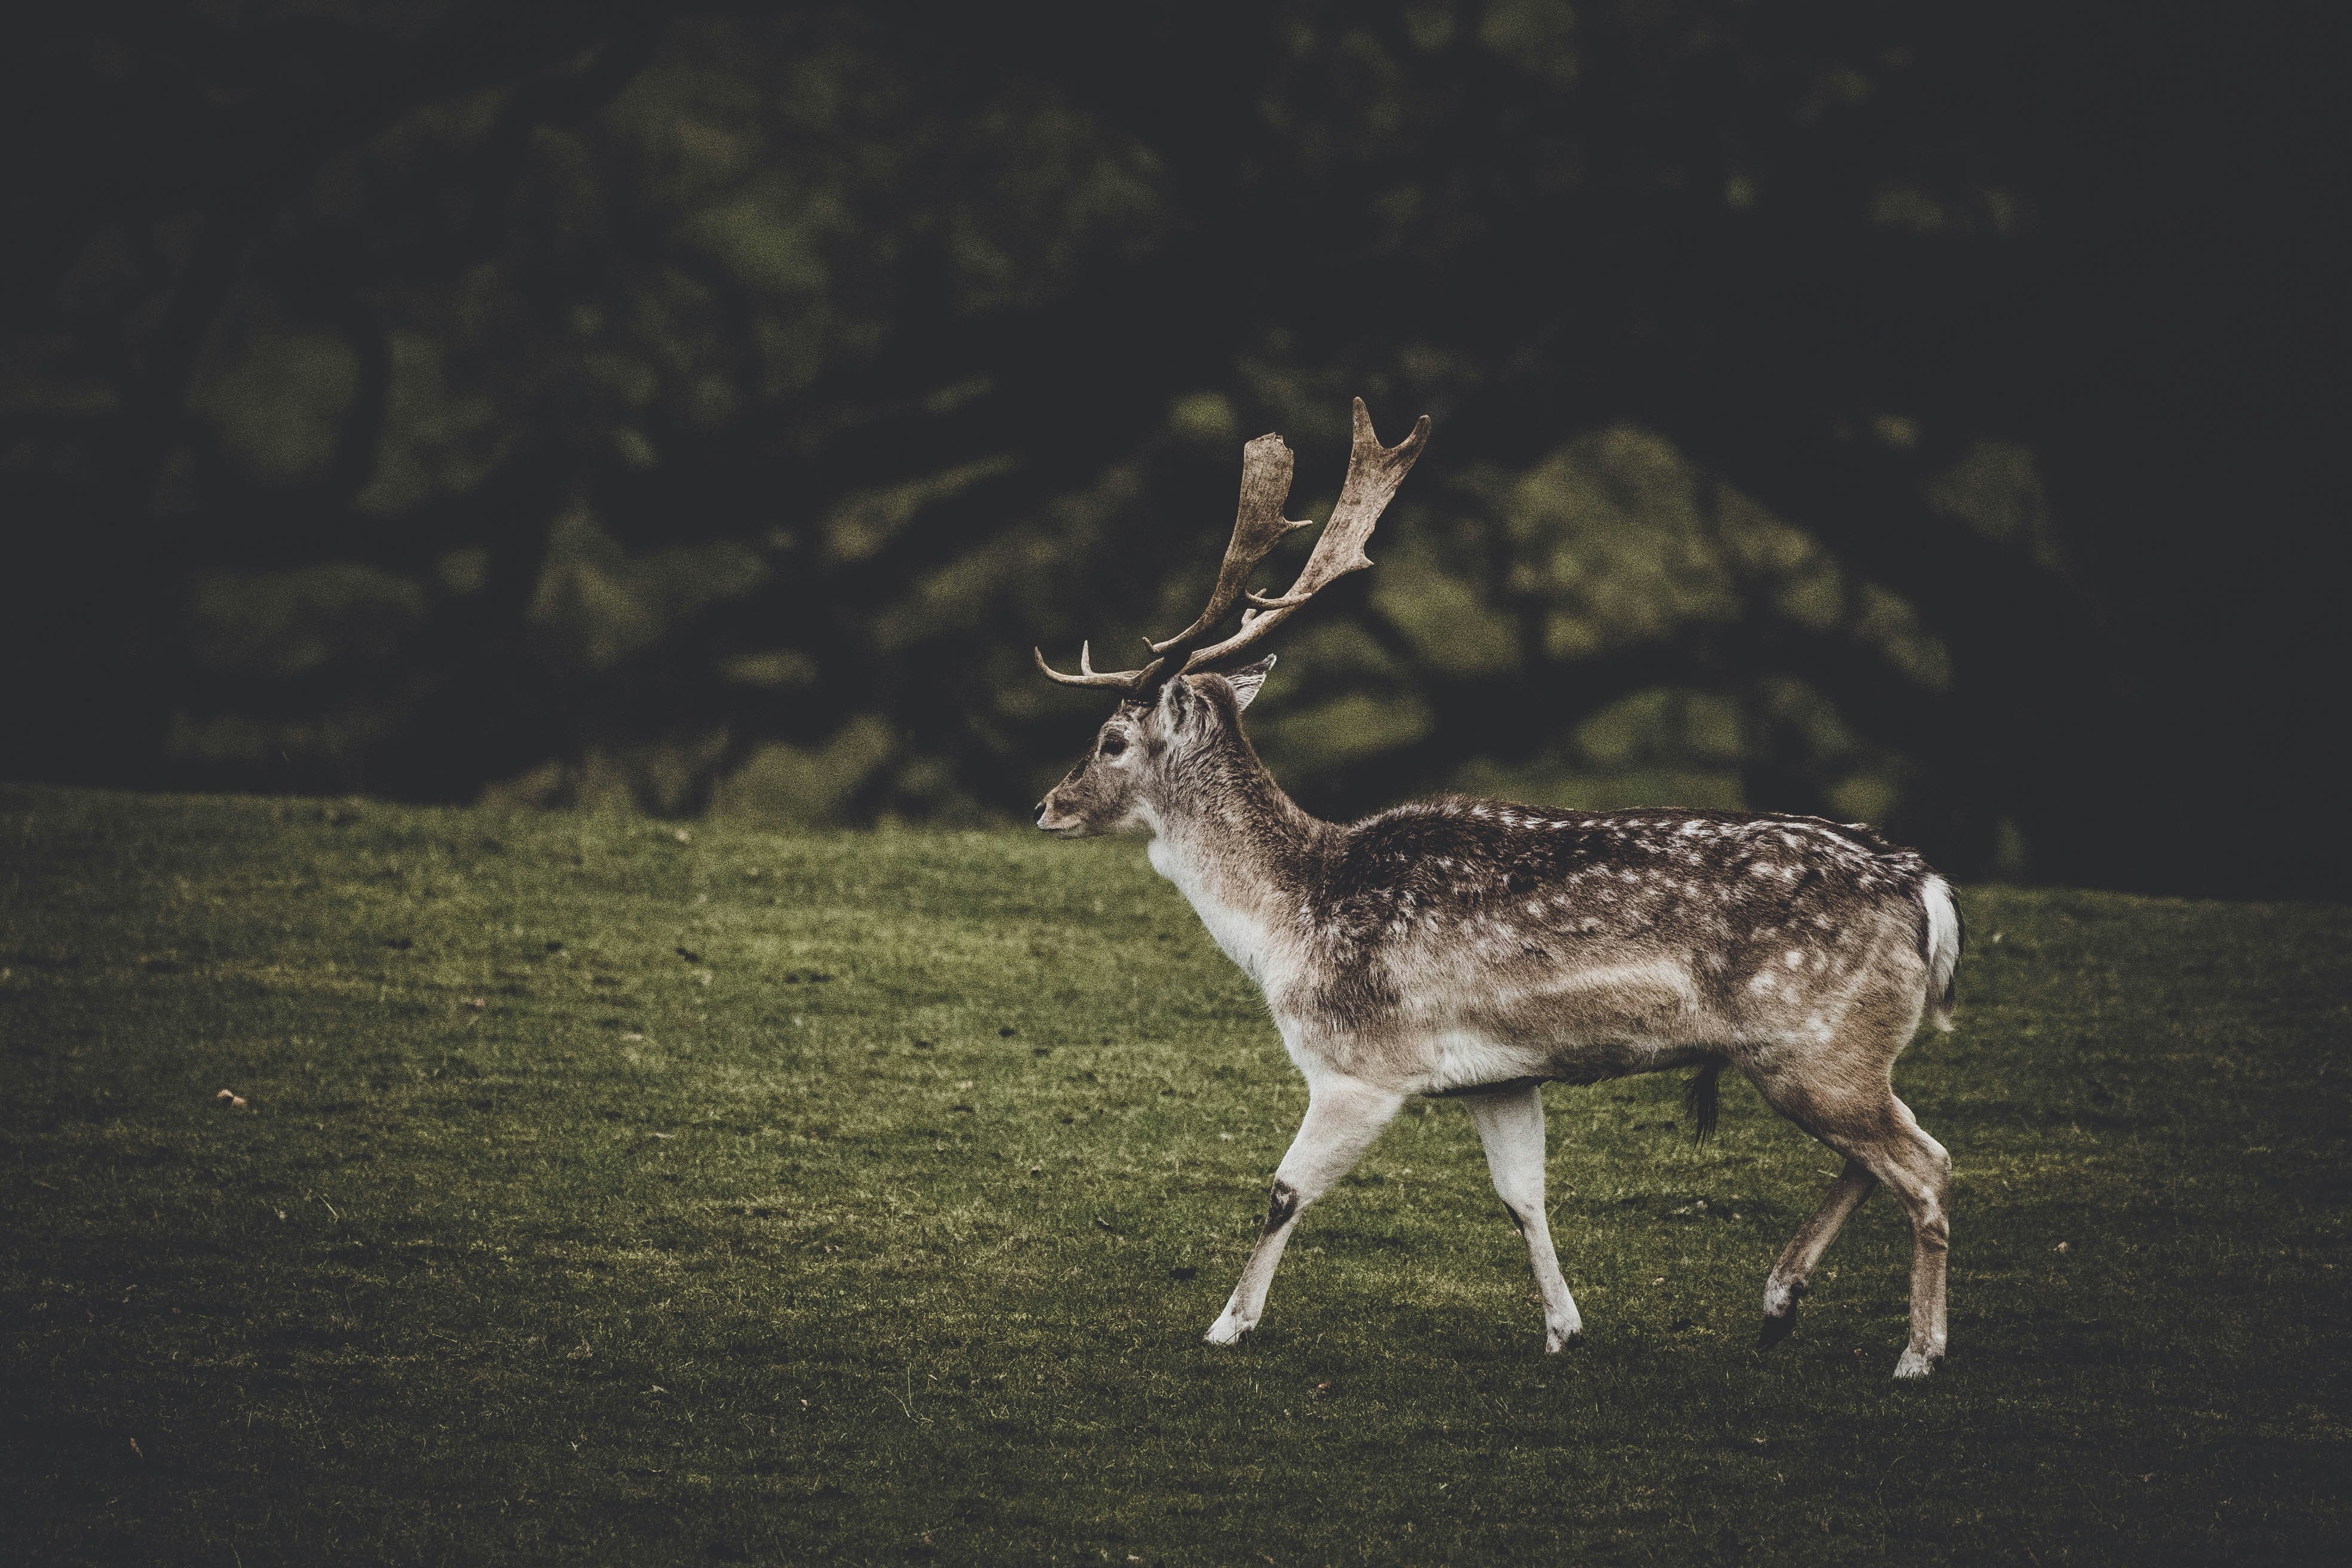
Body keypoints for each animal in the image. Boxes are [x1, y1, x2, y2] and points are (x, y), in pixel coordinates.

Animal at [1030, 399, 1966, 1382]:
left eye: (1109, 741)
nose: (1046, 804)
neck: (1290, 919)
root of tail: (1927, 892)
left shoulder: (1361, 1064)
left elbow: (1285, 1190)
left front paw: (1227, 1323)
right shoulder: (1500, 1076)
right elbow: (1523, 1195)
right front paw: (1564, 1327)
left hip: (1815, 1045)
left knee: (1927, 1163)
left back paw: (1916, 1351)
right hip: (1830, 1057)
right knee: (1890, 1155)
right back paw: (1781, 1300)